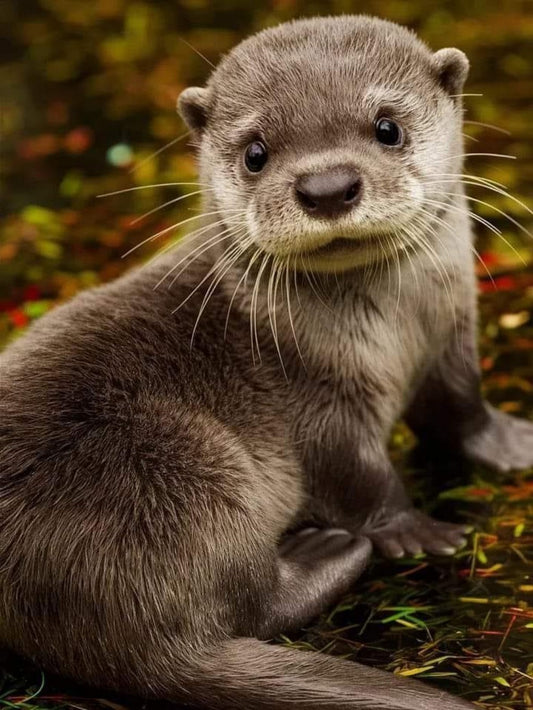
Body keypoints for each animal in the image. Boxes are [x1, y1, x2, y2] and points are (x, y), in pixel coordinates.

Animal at [1, 15, 532, 710]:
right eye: (256, 152)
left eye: (387, 127)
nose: (327, 188)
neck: (398, 328)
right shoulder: (312, 390)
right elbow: (351, 469)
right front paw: (415, 530)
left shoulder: (452, 337)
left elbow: (459, 408)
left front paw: (512, 444)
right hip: (189, 473)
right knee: (253, 605)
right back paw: (327, 552)